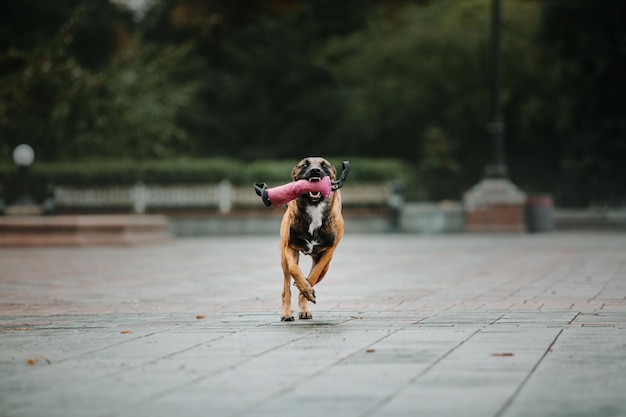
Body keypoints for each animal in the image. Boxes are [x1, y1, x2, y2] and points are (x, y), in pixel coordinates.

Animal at [280, 158, 344, 320]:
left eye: (324, 165)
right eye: (305, 165)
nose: (315, 170)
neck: (314, 206)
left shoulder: (328, 251)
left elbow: (314, 274)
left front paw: (307, 289)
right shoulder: (290, 248)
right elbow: (294, 269)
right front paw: (304, 286)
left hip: (326, 268)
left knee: (314, 276)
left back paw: (304, 306)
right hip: (283, 259)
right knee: (286, 286)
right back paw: (287, 312)